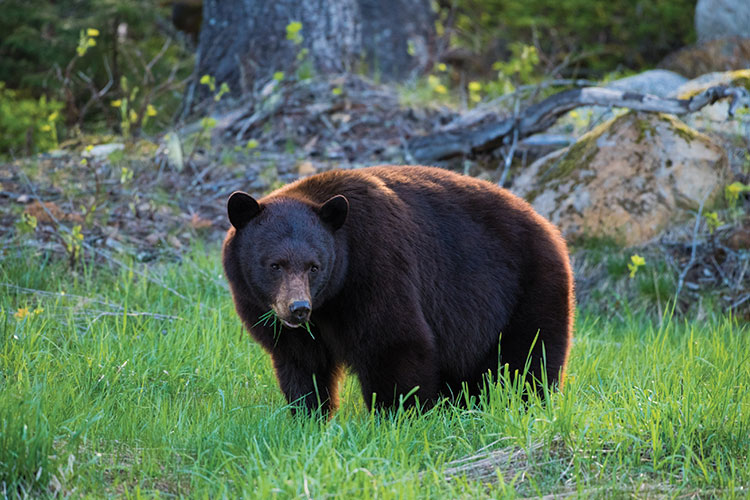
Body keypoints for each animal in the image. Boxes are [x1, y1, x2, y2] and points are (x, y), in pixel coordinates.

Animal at [223, 166, 576, 412]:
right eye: (275, 265)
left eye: (314, 266)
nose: (298, 309)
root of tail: (552, 229)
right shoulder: (277, 318)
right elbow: (302, 365)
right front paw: (309, 416)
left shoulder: (377, 266)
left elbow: (394, 342)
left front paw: (396, 416)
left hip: (530, 288)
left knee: (530, 359)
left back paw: (526, 404)